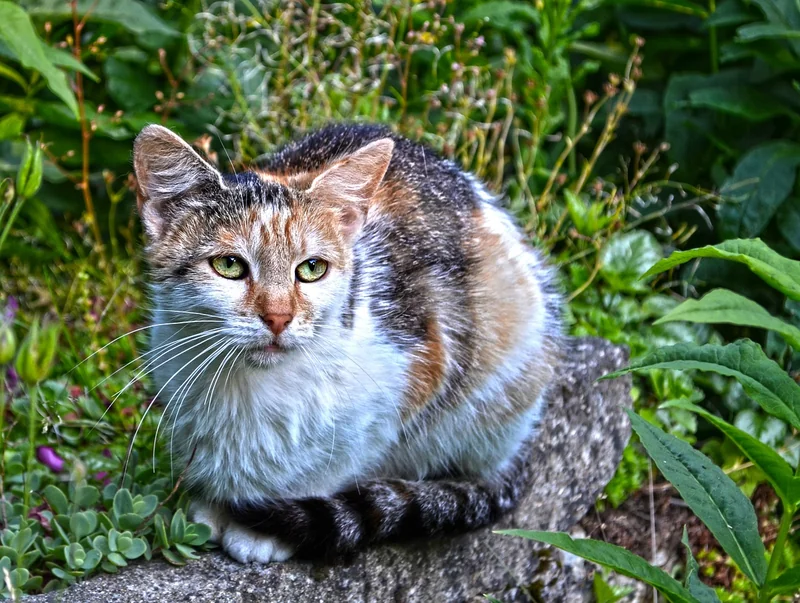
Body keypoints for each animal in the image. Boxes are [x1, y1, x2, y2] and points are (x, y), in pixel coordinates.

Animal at [131, 124, 564, 568]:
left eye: (312, 269)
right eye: (229, 265)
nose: (278, 317)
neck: (249, 387)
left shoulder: (419, 363)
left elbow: (340, 459)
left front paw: (262, 525)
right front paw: (216, 504)